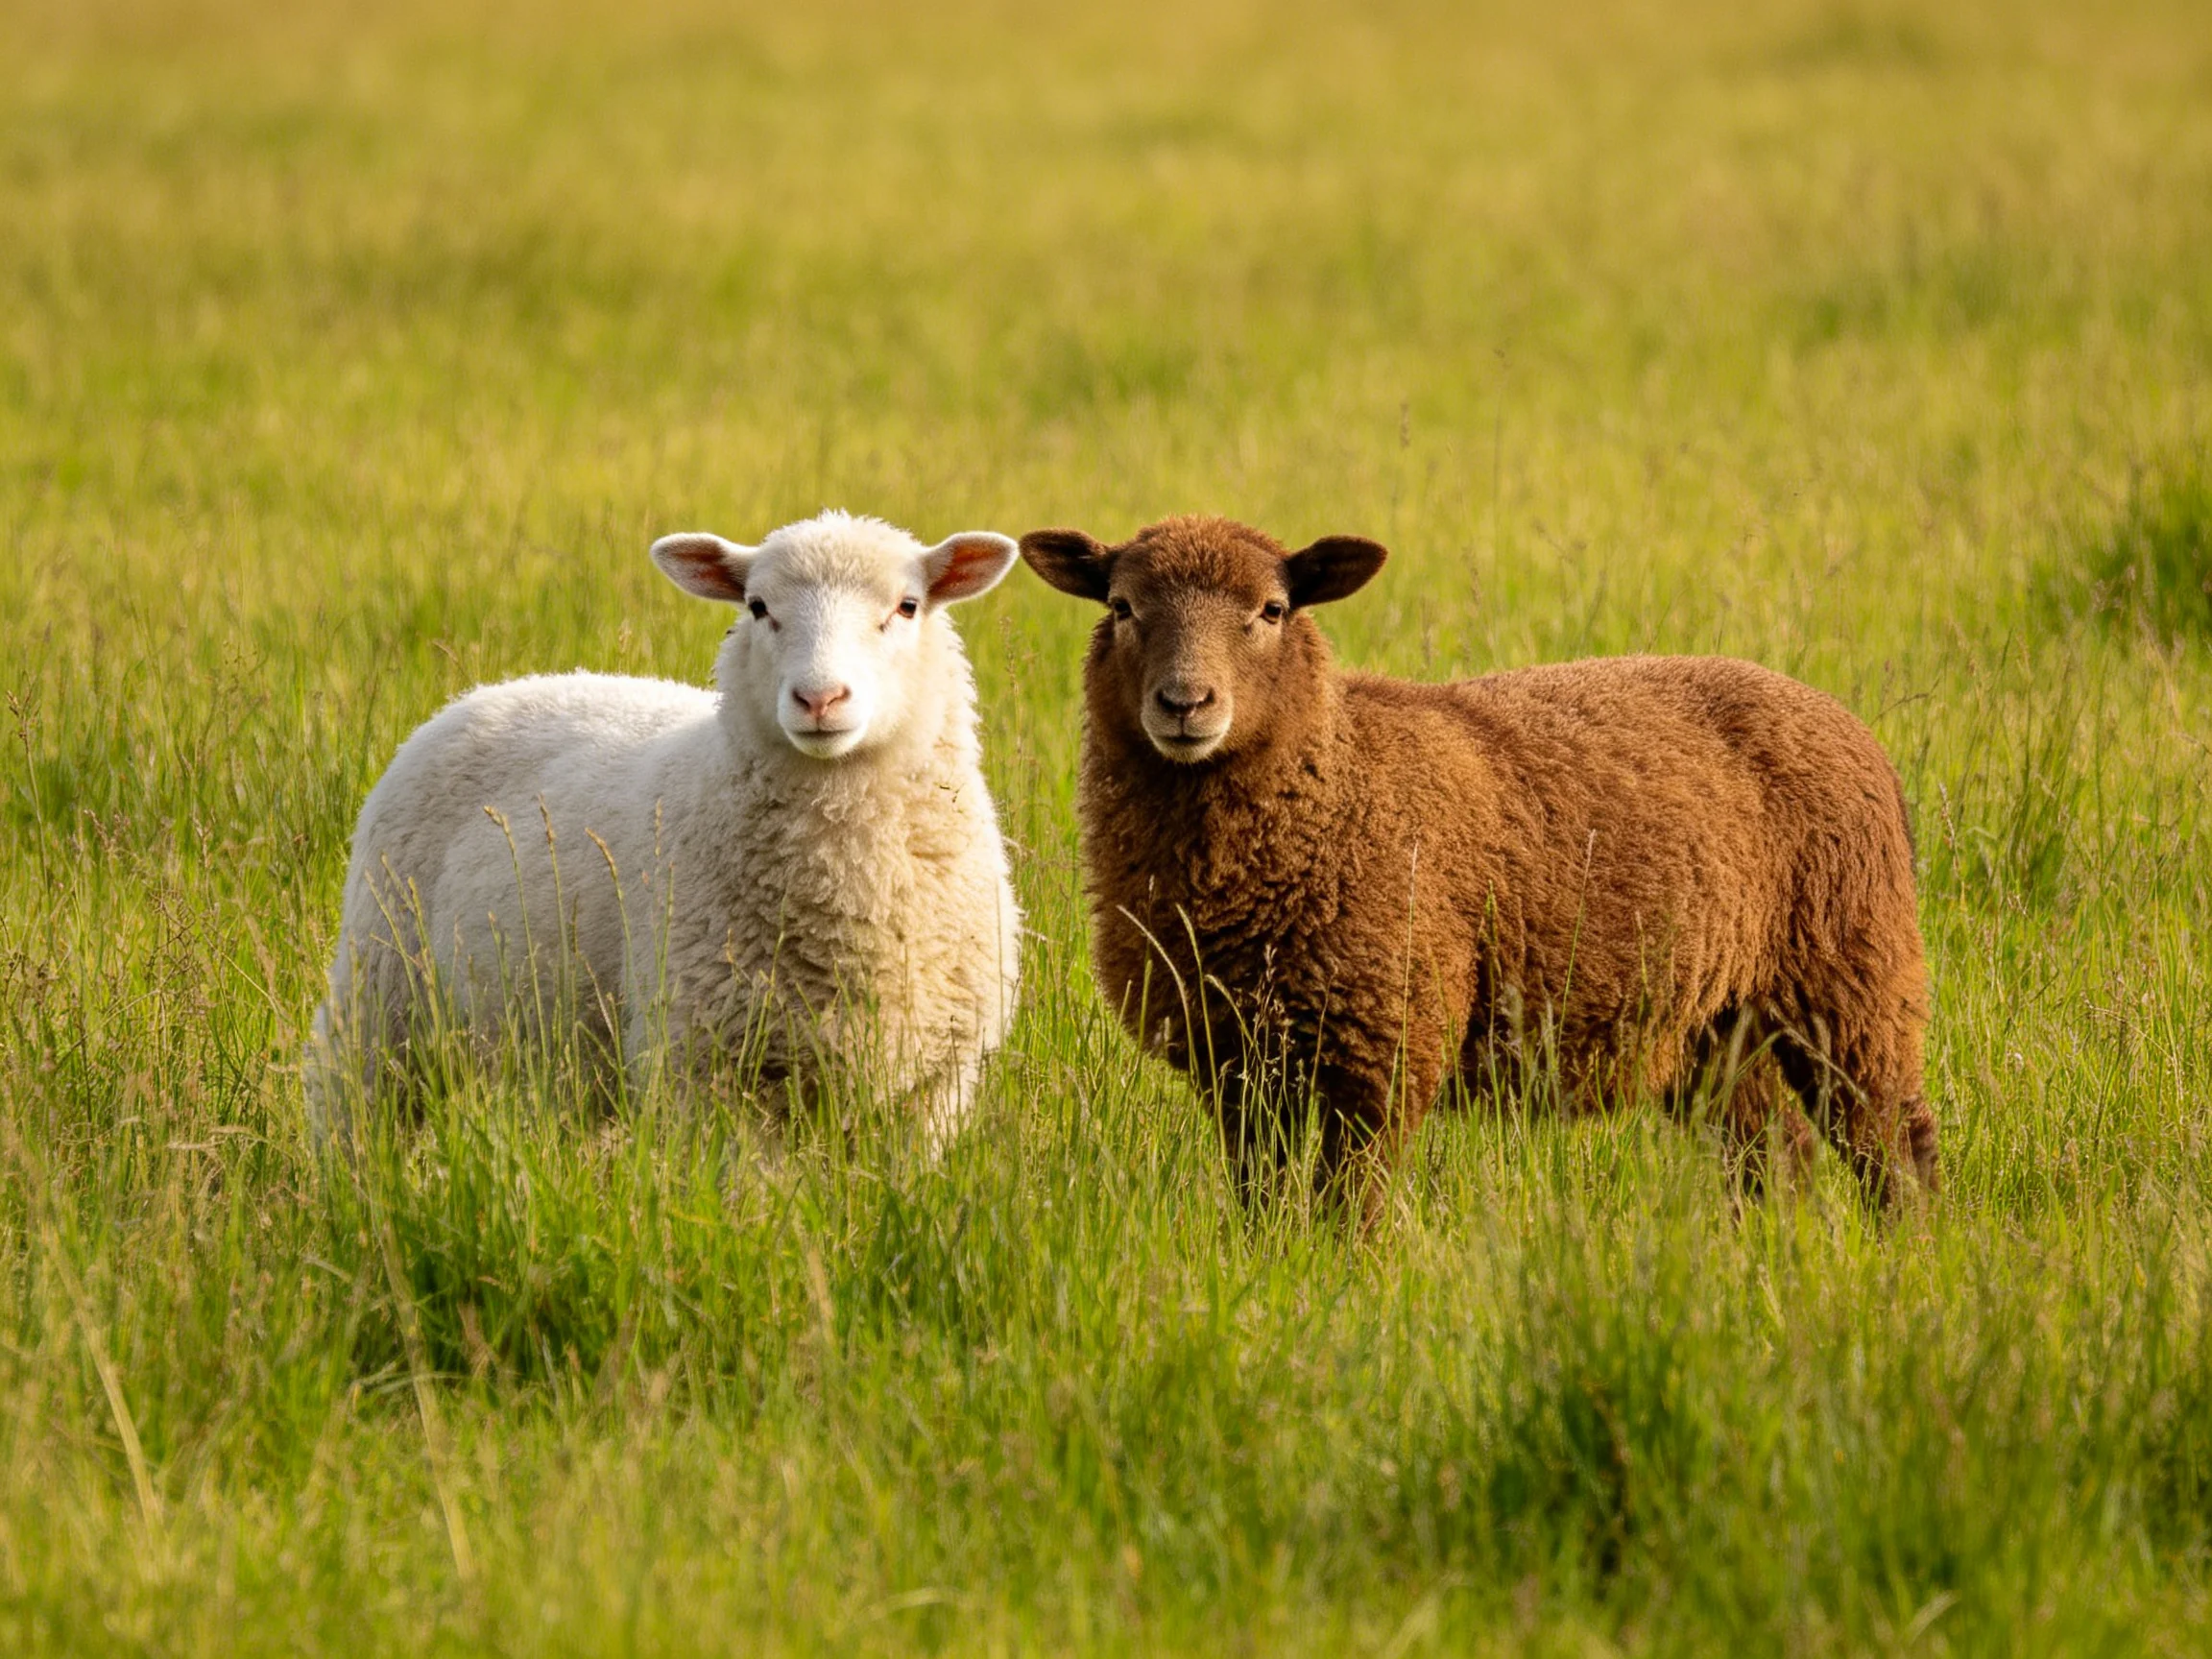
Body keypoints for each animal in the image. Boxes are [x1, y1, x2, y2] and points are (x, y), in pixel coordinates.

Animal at [307, 510, 1023, 1151]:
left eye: (907, 606)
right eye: (757, 606)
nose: (819, 699)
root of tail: (494, 691)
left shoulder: (936, 1085)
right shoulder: (701, 1067)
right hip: (382, 995)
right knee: (349, 1107)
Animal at [1019, 514, 1937, 1217]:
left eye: (1273, 609)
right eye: (1122, 606)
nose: (1185, 705)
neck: (1340, 785)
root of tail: (1842, 721)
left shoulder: (1383, 1049)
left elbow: (1350, 1207)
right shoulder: (1236, 1062)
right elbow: (1265, 1205)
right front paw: (1271, 1274)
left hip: (1851, 975)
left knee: (1895, 1147)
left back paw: (1909, 1262)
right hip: (1711, 1021)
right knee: (1775, 1156)